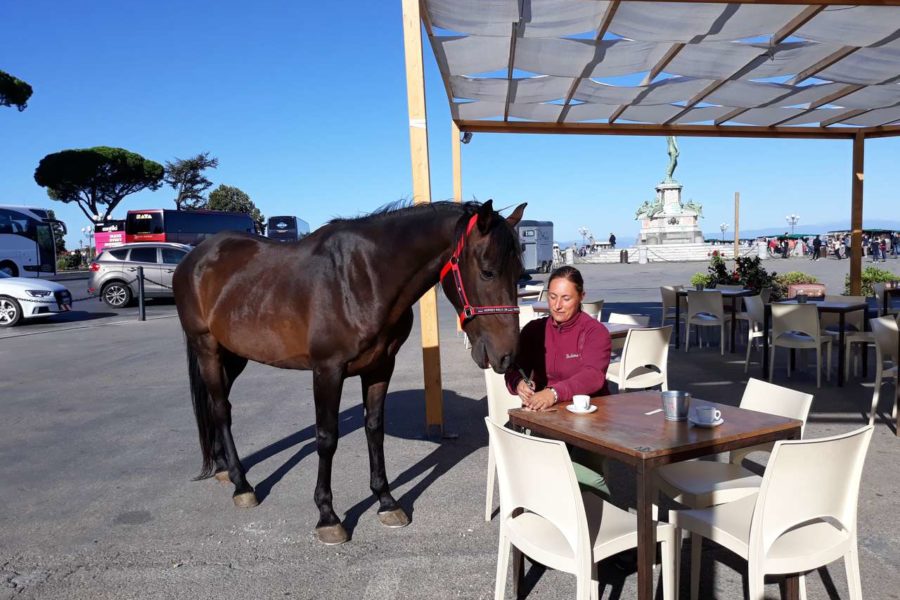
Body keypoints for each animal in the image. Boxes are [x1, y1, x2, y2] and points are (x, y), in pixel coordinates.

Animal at [174, 200, 528, 544]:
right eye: (487, 272)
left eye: (520, 273)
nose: (508, 356)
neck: (362, 279)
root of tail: (194, 258)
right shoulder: (327, 371)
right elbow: (327, 439)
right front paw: (328, 517)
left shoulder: (380, 367)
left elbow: (374, 429)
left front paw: (386, 502)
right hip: (207, 348)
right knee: (222, 410)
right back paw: (242, 484)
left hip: (233, 355)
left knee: (215, 404)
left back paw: (222, 467)